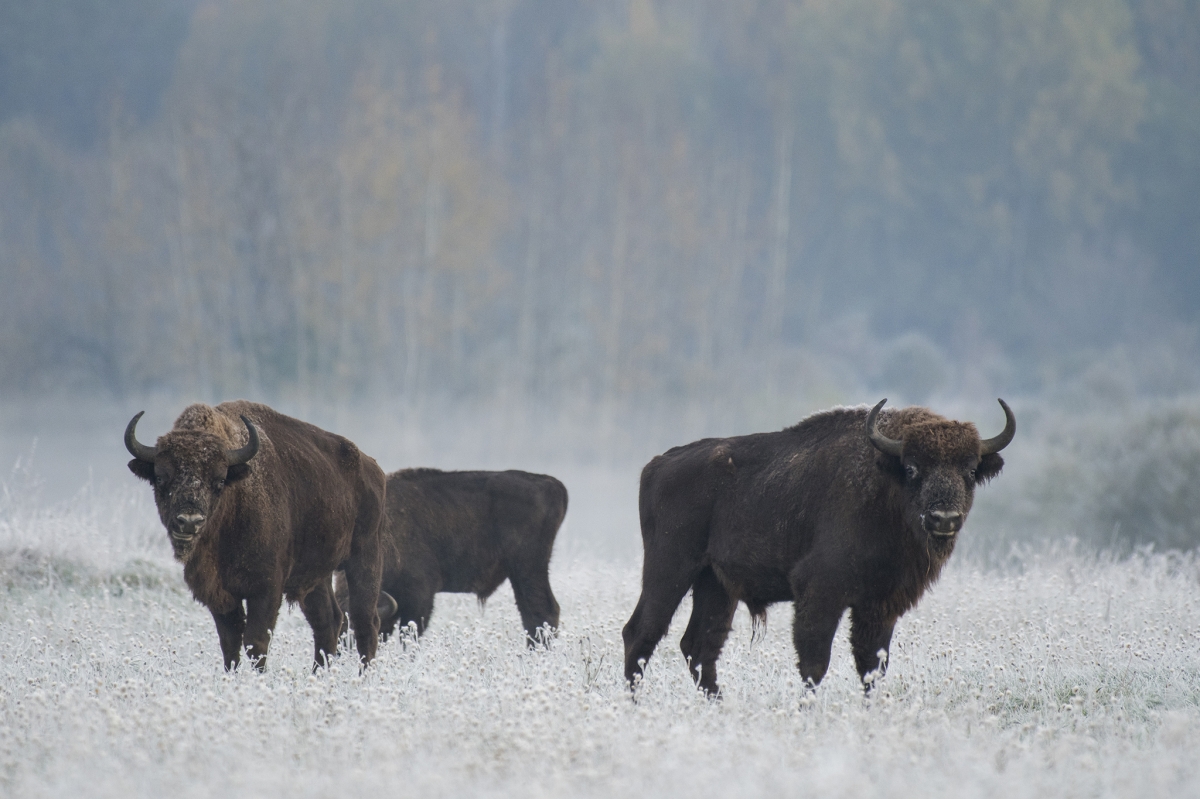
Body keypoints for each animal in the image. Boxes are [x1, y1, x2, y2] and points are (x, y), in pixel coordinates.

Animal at [124, 401, 387, 671]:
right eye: (160, 478)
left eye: (219, 481)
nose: (189, 521)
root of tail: (371, 468)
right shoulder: (219, 594)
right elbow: (230, 643)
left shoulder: (266, 589)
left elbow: (255, 641)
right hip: (316, 575)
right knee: (328, 621)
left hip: (365, 558)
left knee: (365, 622)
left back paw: (362, 675)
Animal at [337, 468, 566, 646]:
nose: (342, 649)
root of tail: (552, 484)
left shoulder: (420, 596)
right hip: (520, 575)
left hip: (529, 569)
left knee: (543, 611)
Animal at [622, 398, 1015, 696]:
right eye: (912, 468)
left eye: (970, 470)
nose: (943, 518)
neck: (882, 487)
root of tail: (658, 464)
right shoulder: (820, 593)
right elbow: (814, 664)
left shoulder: (881, 605)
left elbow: (872, 667)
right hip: (669, 569)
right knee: (641, 633)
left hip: (715, 584)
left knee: (700, 646)